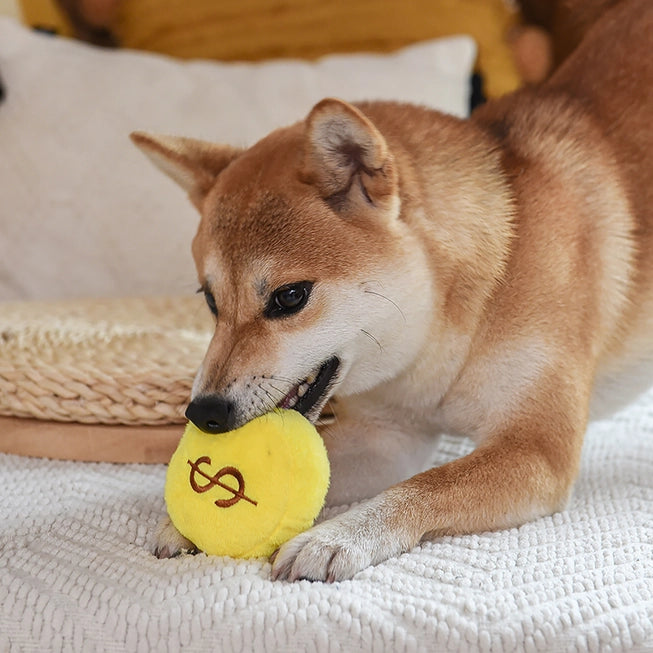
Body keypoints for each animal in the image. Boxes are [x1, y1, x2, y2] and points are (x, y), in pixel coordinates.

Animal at [130, 0, 648, 580]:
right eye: (211, 301)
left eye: (289, 297)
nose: (204, 414)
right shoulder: (389, 437)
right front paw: (184, 520)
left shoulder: (535, 451)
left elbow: (422, 488)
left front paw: (334, 537)